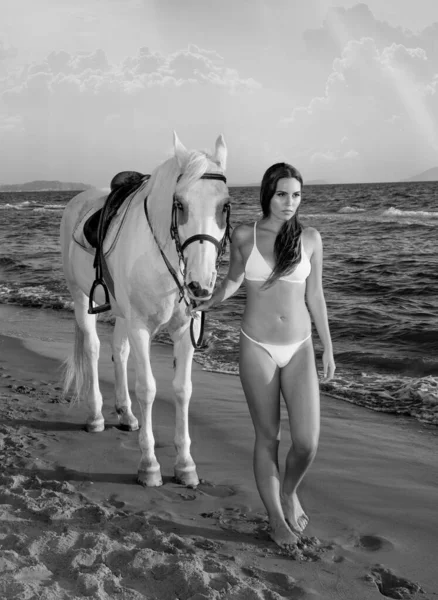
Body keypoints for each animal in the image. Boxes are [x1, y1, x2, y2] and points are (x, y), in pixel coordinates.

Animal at [60, 132, 229, 488]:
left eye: (225, 205)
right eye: (180, 204)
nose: (200, 284)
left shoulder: (185, 330)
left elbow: (182, 390)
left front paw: (185, 464)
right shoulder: (140, 327)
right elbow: (148, 388)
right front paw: (149, 464)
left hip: (122, 312)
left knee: (119, 351)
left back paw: (125, 413)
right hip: (80, 298)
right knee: (94, 349)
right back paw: (96, 415)